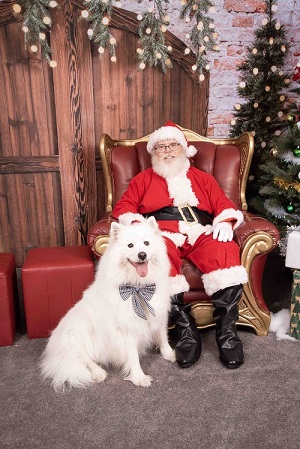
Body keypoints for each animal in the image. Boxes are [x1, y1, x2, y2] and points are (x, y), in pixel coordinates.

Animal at [40, 217, 176, 388]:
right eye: (130, 245)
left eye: (146, 243)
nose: (142, 254)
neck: (137, 287)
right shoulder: (126, 330)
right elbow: (133, 356)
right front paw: (139, 377)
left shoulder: (159, 316)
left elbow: (163, 337)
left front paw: (170, 354)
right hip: (80, 329)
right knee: (84, 359)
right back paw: (99, 373)